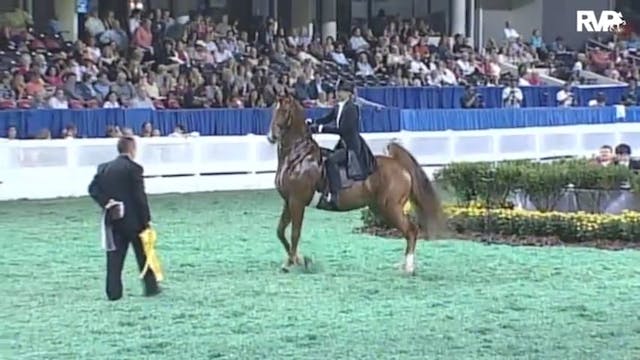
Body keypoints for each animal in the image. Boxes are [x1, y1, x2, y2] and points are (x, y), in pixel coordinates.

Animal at [268, 95, 442, 272]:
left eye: (285, 111)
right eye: (274, 110)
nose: (271, 137)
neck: (298, 157)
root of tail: (400, 166)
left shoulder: (297, 201)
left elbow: (295, 233)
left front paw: (293, 263)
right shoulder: (288, 201)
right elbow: (280, 231)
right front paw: (298, 260)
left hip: (391, 208)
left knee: (411, 230)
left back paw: (408, 267)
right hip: (380, 208)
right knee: (409, 231)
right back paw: (404, 265)